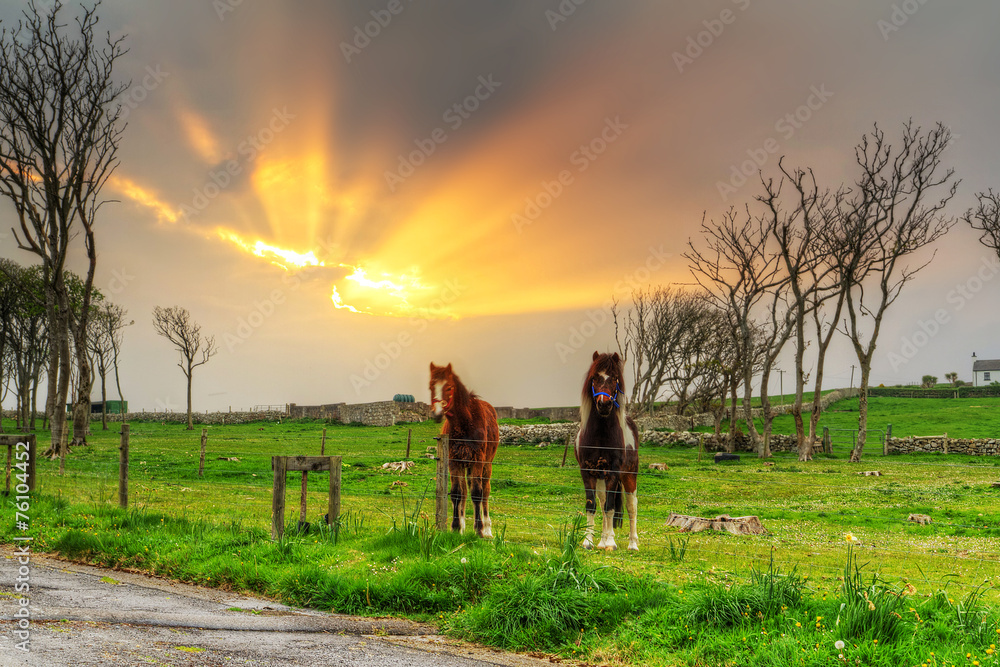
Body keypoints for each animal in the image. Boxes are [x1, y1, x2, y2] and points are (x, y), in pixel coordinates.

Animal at [428, 362, 498, 540]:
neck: (465, 422)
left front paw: (479, 530)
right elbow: (457, 493)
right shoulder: (454, 461)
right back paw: (463, 526)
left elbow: (477, 493)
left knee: (485, 491)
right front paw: (455, 527)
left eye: (449, 387)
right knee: (465, 491)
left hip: (486, 465)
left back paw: (487, 529)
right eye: (431, 386)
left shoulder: (477, 461)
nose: (437, 413)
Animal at [576, 352, 636, 552]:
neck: (601, 435)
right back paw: (602, 541)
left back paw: (632, 544)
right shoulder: (587, 472)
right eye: (595, 377)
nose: (604, 404)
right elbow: (592, 505)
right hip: (601, 477)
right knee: (602, 503)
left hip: (629, 475)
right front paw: (588, 541)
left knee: (631, 506)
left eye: (615, 378)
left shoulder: (614, 472)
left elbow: (611, 507)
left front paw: (611, 543)